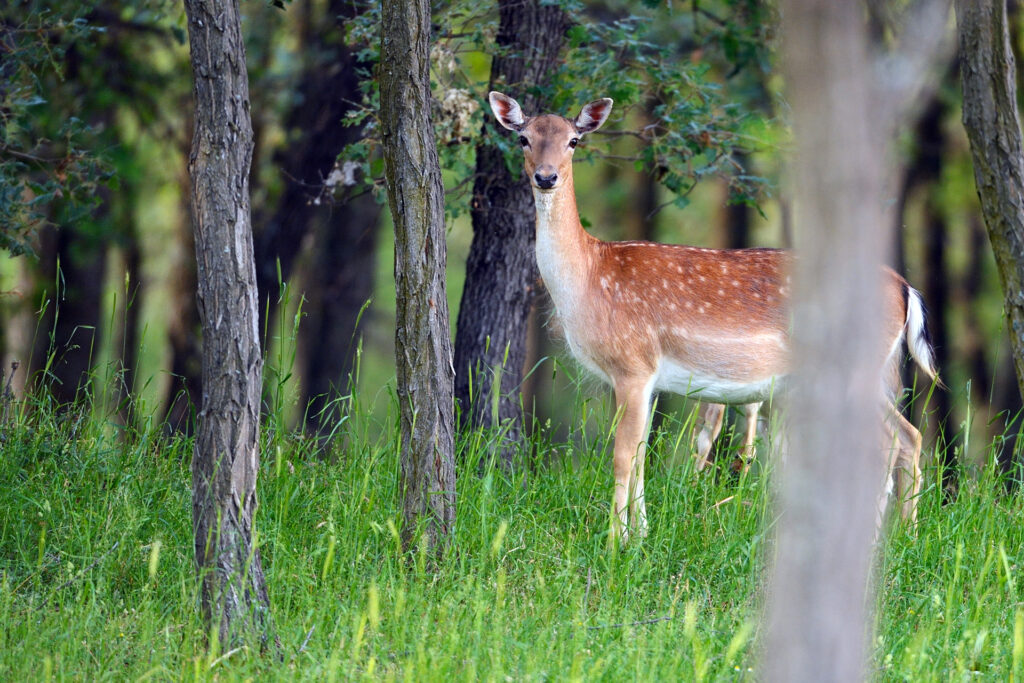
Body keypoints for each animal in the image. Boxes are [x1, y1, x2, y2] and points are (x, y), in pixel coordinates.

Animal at [491, 90, 937, 540]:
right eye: (524, 138)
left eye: (573, 141)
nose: (546, 177)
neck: (588, 279)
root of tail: (906, 287)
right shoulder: (649, 378)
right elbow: (640, 455)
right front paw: (642, 534)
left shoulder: (632, 364)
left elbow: (622, 455)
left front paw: (615, 541)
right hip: (877, 373)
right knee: (910, 436)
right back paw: (908, 533)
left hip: (858, 368)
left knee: (886, 442)